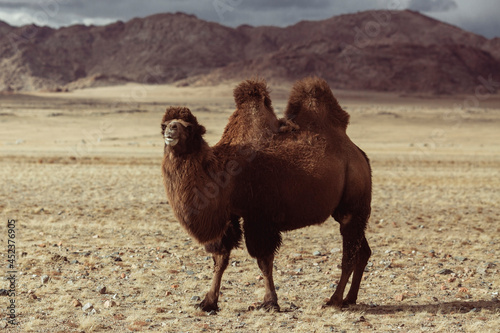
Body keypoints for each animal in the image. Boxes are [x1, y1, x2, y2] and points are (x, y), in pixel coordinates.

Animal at [161, 78, 372, 312]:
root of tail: (359, 155)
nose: (171, 129)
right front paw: (208, 302)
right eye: (165, 123)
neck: (223, 174)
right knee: (363, 250)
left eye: (188, 127)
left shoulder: (259, 216)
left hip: (353, 204)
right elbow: (220, 258)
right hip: (346, 210)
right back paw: (350, 298)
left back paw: (334, 299)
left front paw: (270, 302)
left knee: (349, 253)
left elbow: (263, 259)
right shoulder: (230, 217)